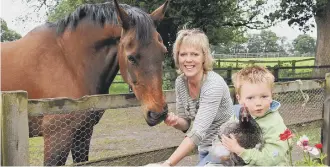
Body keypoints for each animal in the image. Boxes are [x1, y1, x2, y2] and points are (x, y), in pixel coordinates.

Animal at [2, 0, 171, 166]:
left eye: (164, 53)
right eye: (131, 57)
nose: (158, 113)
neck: (68, 62)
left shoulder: (83, 133)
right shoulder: (57, 138)